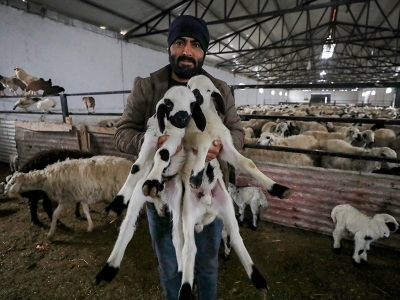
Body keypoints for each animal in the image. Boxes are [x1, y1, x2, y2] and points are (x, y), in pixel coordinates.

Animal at [4, 156, 132, 240]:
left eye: (12, 183)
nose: (5, 192)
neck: (46, 179)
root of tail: (130, 164)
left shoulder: (66, 199)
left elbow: (55, 214)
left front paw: (50, 234)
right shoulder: (82, 195)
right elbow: (86, 210)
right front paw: (90, 226)